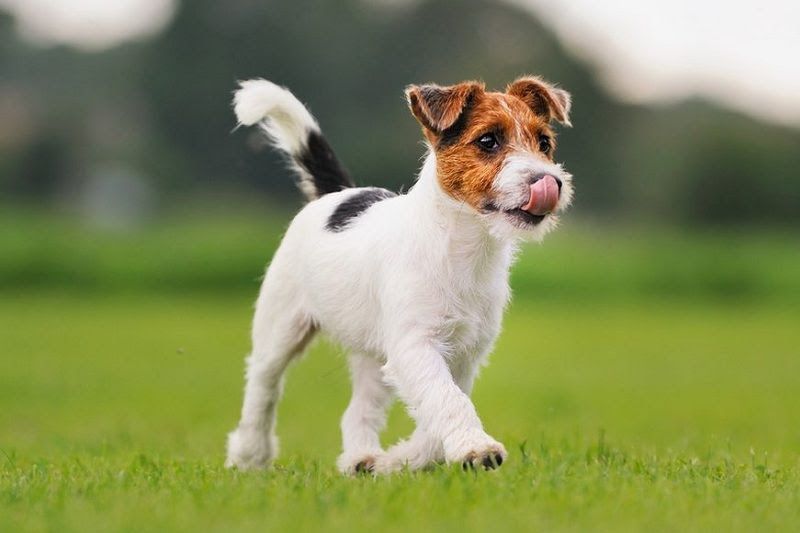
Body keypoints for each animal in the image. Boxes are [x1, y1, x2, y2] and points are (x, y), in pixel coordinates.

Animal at [225, 76, 572, 474]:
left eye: (544, 143)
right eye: (488, 141)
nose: (549, 181)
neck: (463, 247)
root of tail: (338, 193)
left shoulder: (464, 355)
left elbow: (440, 409)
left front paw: (400, 461)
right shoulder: (415, 345)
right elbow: (447, 399)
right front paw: (476, 448)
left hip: (373, 356)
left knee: (357, 411)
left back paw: (362, 459)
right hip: (281, 325)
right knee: (263, 385)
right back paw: (250, 455)